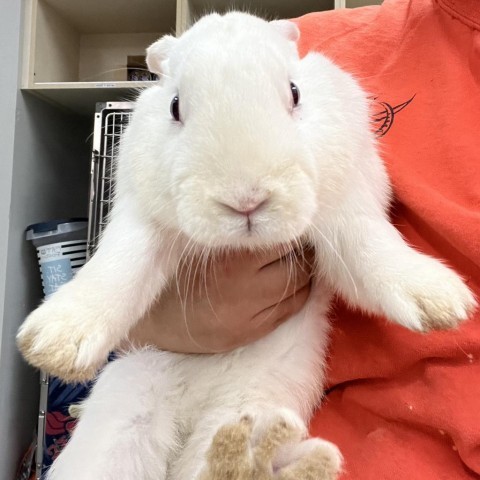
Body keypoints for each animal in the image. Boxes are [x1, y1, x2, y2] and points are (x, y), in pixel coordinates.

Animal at [16, 11, 474, 480]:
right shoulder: (140, 218)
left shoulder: (347, 211)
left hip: (251, 401)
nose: (247, 200)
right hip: (125, 409)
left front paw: (439, 301)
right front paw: (53, 342)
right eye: (174, 106)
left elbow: (370, 248)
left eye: (295, 92)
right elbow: (121, 264)